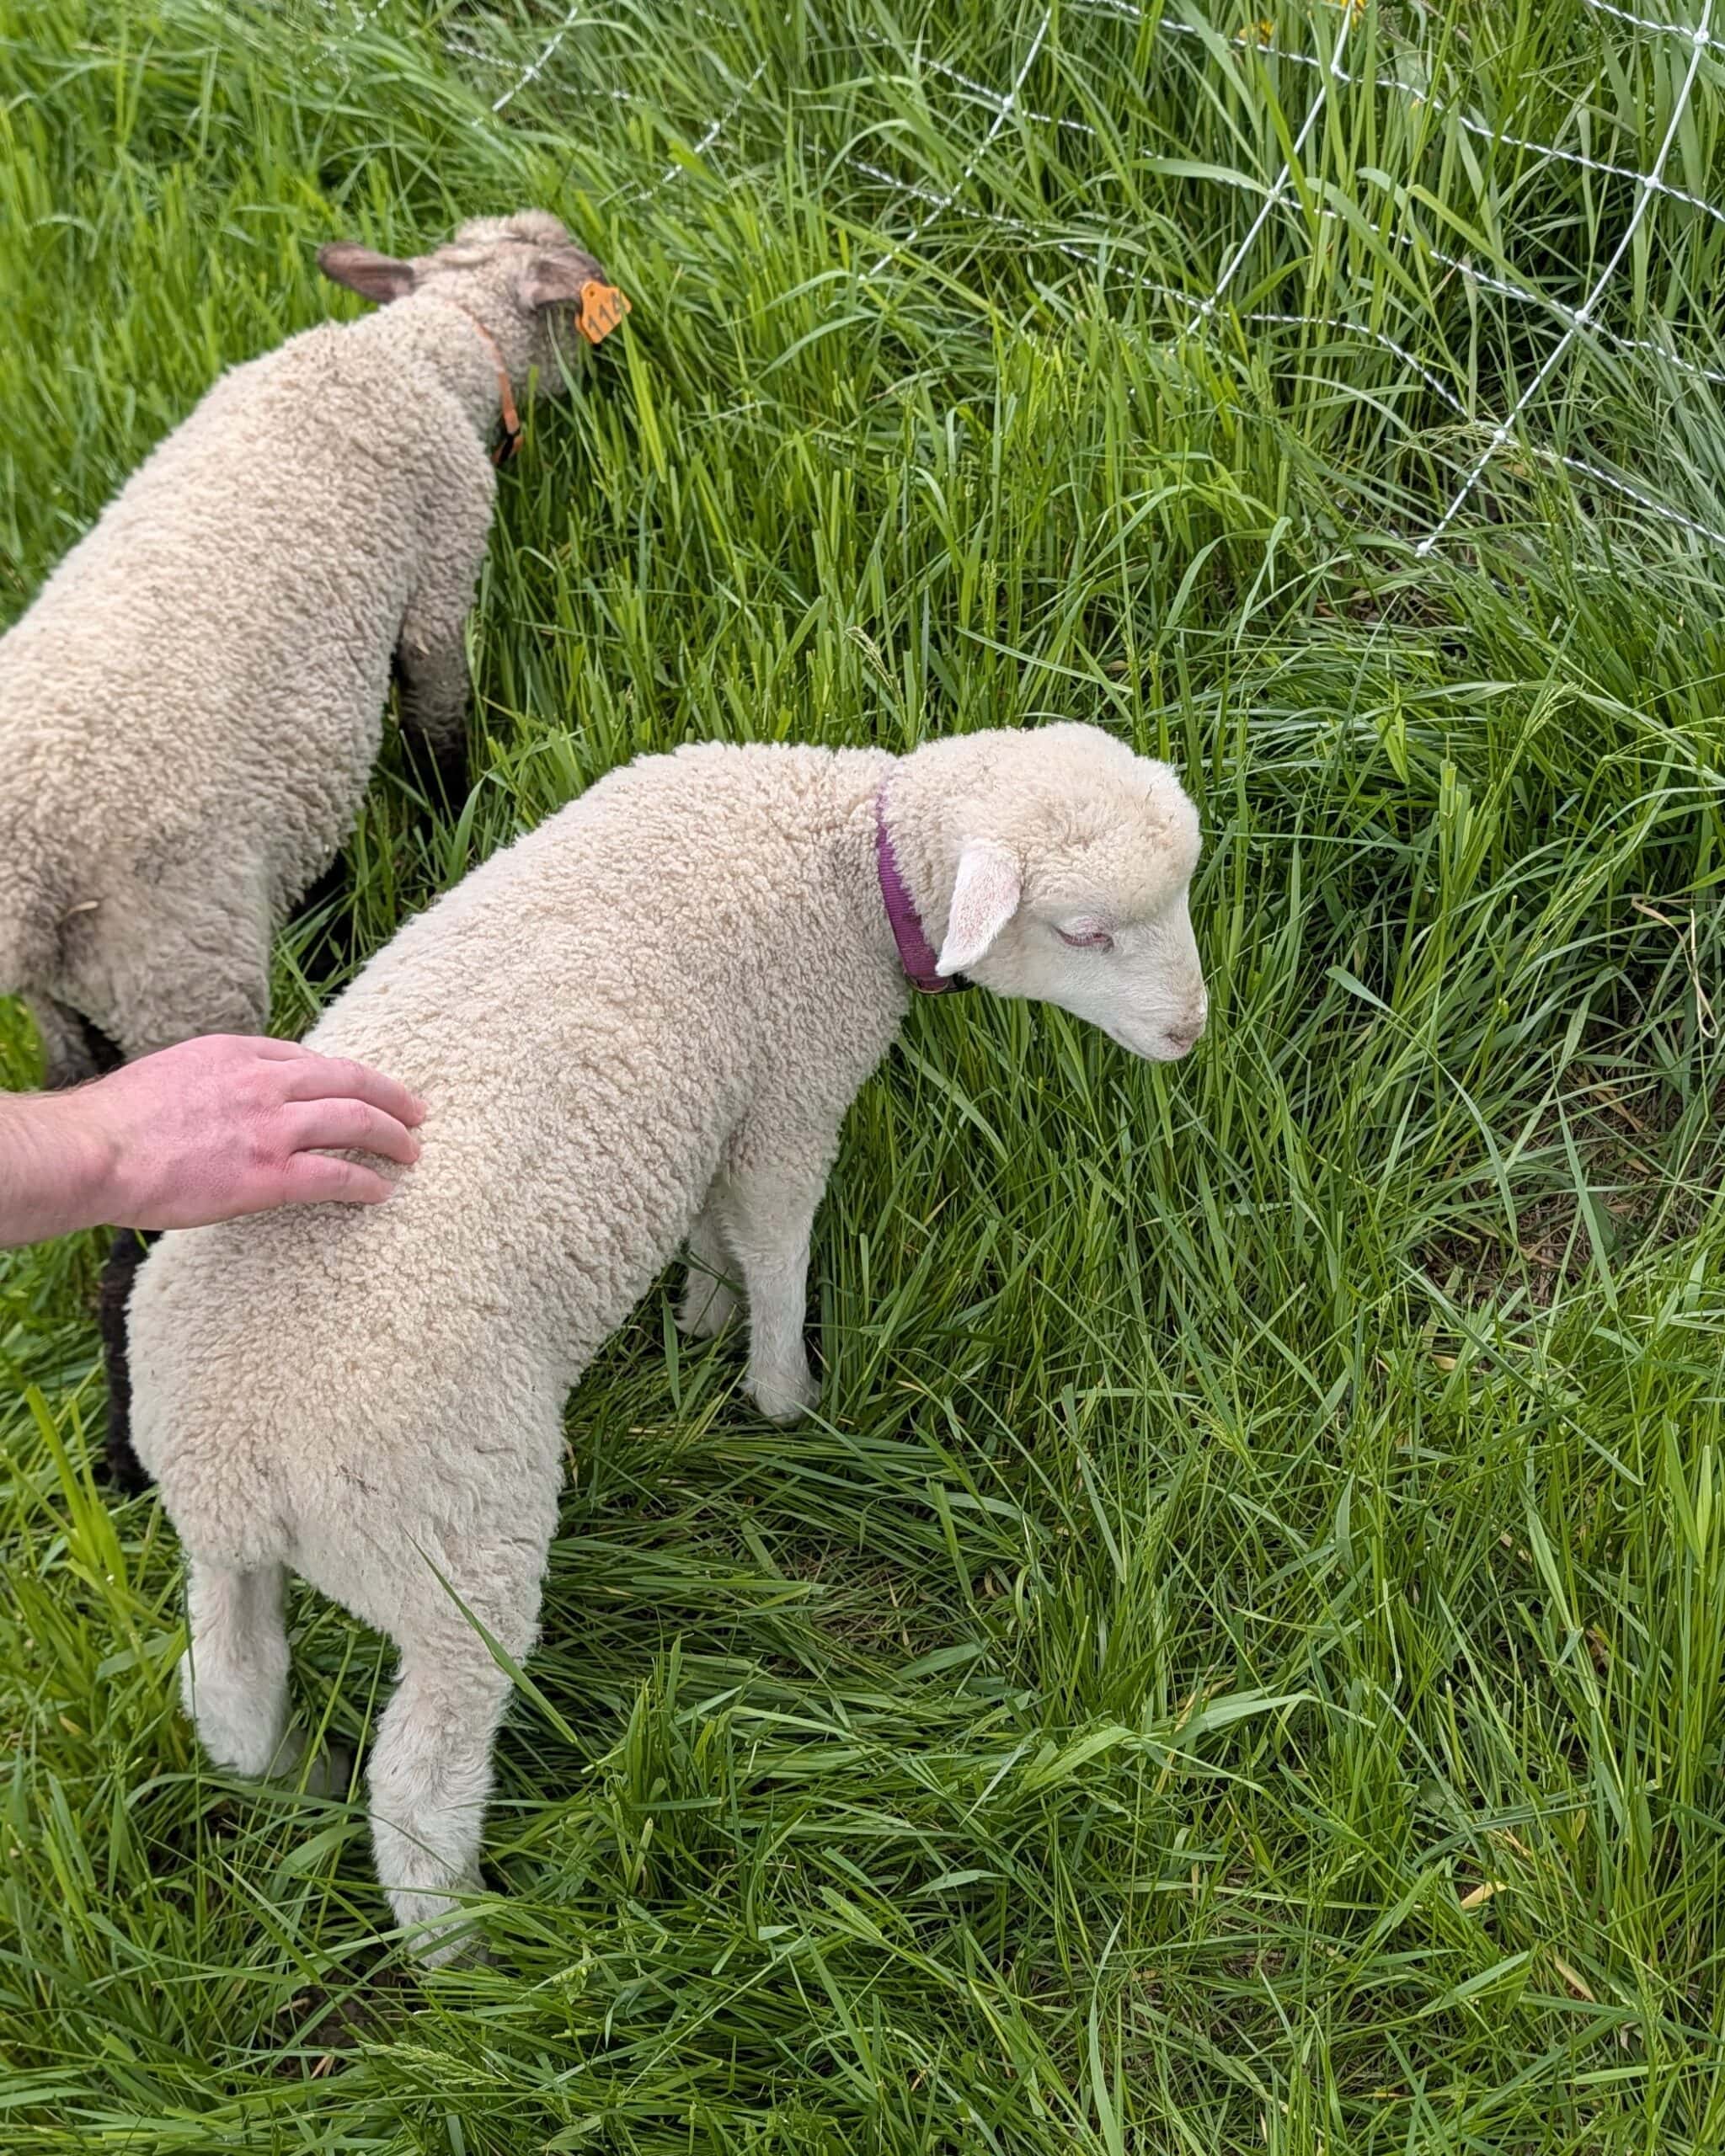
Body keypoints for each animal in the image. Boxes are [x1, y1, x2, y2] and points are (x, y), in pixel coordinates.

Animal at [124, 721, 1208, 1961]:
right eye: (1084, 932)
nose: (1191, 1032)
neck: (848, 856)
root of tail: (235, 1459)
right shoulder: (789, 1091)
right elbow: (779, 1235)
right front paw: (783, 1390)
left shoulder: (719, 1107)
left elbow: (714, 1228)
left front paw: (700, 1312)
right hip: (453, 1545)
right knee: (419, 1785)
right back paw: (467, 1953)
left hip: (234, 1550)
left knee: (232, 1693)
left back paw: (298, 1780)